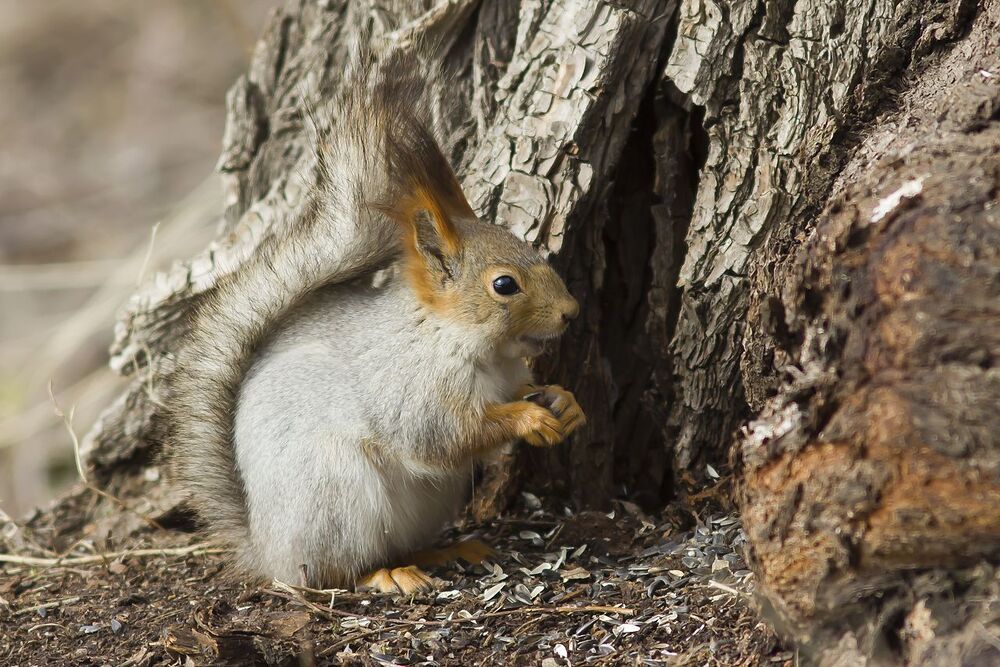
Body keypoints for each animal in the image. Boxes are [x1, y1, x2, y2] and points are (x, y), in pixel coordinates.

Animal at [164, 55, 584, 595]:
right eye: (504, 285)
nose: (571, 311)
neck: (460, 340)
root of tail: (267, 550)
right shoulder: (407, 388)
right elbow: (443, 434)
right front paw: (528, 419)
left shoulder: (508, 376)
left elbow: (525, 392)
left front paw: (565, 402)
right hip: (337, 494)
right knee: (336, 571)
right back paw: (387, 574)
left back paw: (446, 550)